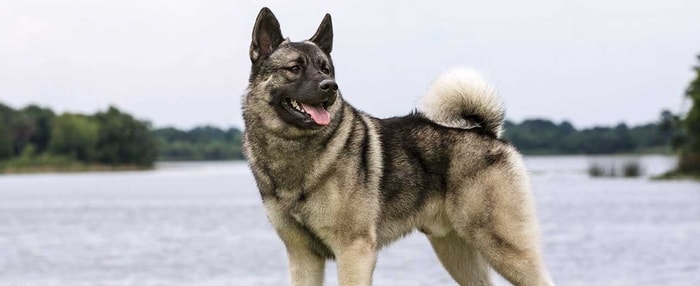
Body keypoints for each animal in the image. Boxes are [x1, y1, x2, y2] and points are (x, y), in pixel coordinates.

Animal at [243, 6, 556, 286]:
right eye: (294, 68)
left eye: (326, 69)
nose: (329, 86)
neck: (295, 149)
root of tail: (486, 132)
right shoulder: (302, 255)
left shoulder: (354, 250)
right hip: (456, 251)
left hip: (503, 245)